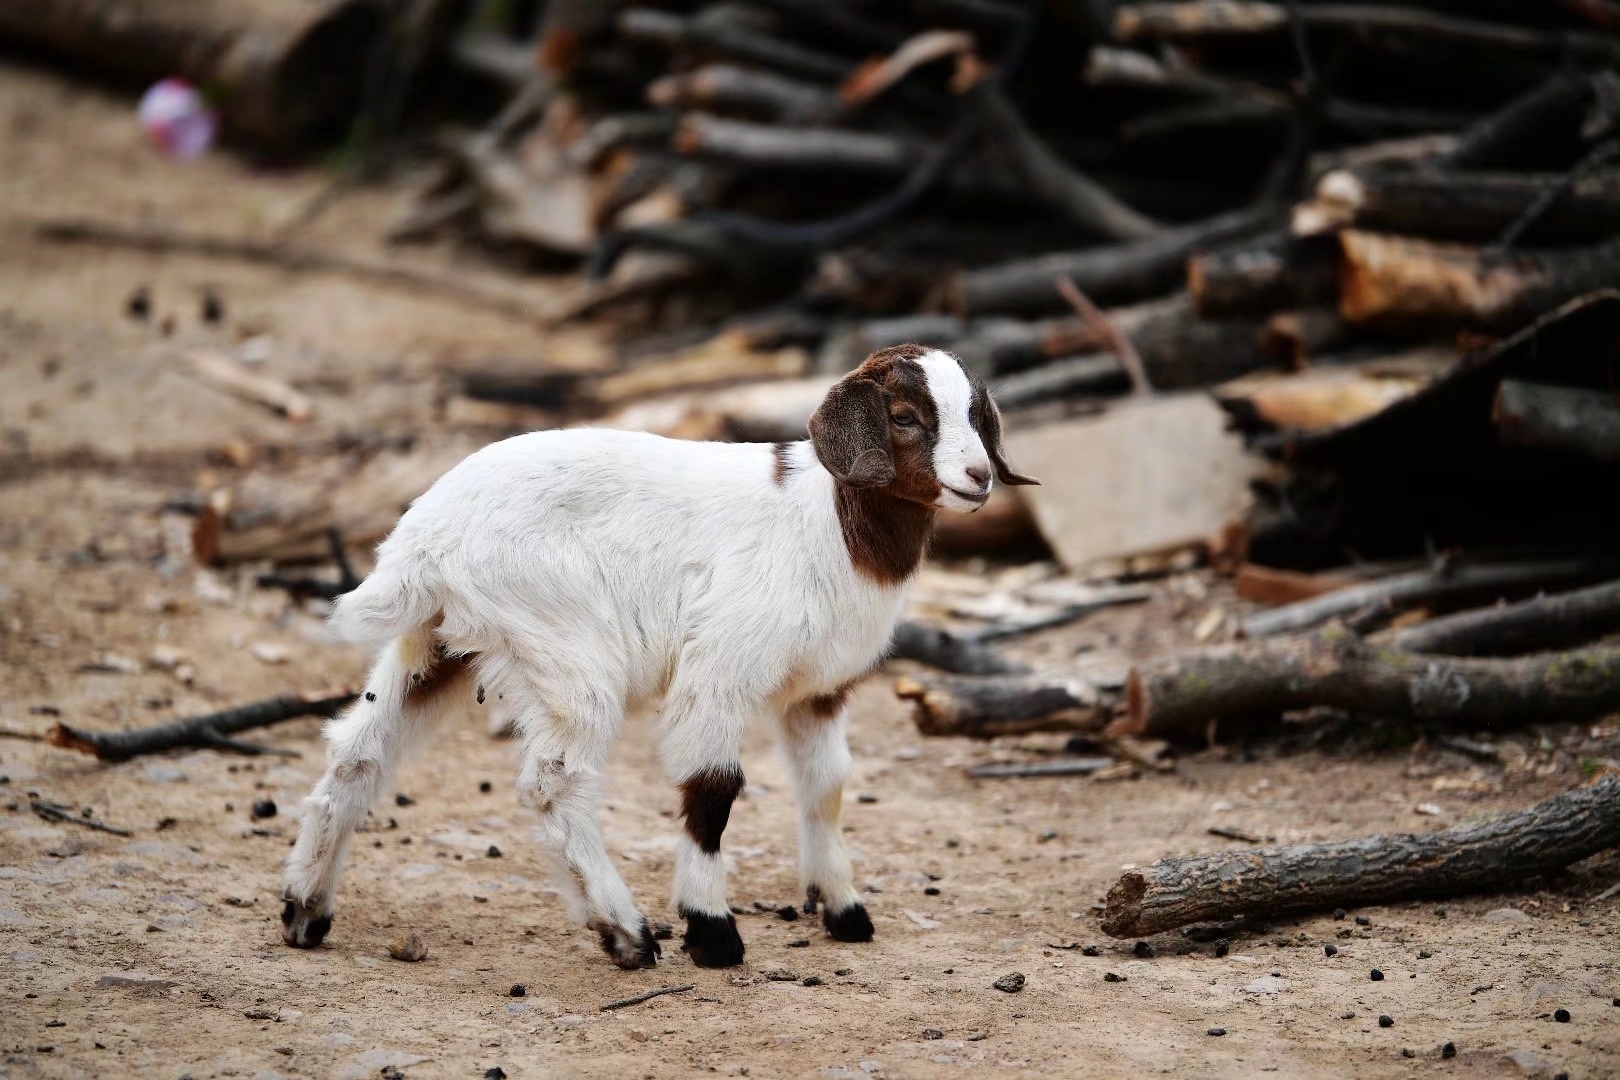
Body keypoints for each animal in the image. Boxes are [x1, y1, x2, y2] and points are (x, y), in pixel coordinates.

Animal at [278, 344, 1036, 971]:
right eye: (904, 416)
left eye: (977, 413)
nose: (978, 477)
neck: (832, 526)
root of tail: (424, 543)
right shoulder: (721, 667)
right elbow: (713, 789)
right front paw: (712, 932)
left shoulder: (819, 689)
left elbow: (826, 786)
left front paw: (845, 910)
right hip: (565, 644)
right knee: (552, 784)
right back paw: (626, 933)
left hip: (436, 643)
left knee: (358, 753)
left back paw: (305, 909)